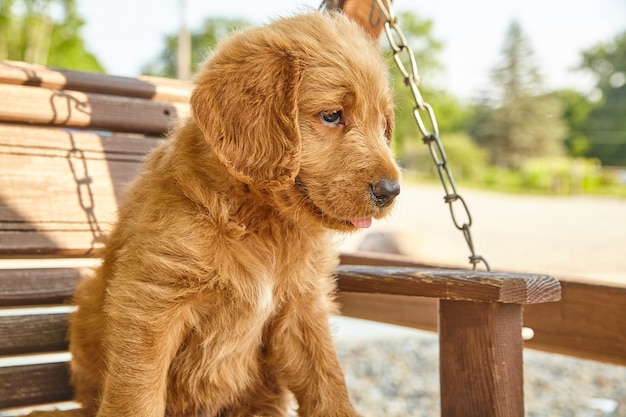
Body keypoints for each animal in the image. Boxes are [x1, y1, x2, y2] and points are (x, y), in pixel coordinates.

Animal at [68, 10, 400, 416]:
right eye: (332, 115)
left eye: (383, 125)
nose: (391, 191)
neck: (261, 221)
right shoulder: (151, 303)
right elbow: (137, 394)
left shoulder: (302, 309)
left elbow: (328, 382)